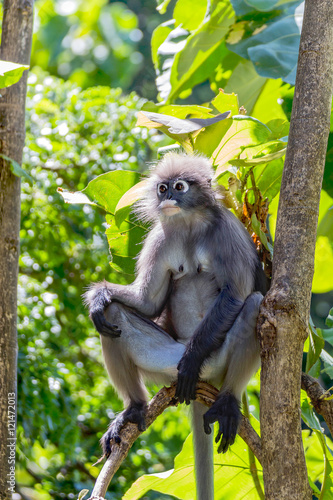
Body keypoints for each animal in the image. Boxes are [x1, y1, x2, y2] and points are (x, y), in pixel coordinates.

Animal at [84, 153, 266, 500]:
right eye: (162, 187)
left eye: (179, 187)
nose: (167, 196)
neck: (190, 224)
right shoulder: (160, 238)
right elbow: (147, 302)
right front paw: (99, 295)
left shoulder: (228, 231)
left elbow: (236, 295)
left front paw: (193, 359)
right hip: (166, 362)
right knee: (112, 316)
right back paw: (134, 409)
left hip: (215, 362)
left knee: (252, 304)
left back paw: (226, 401)